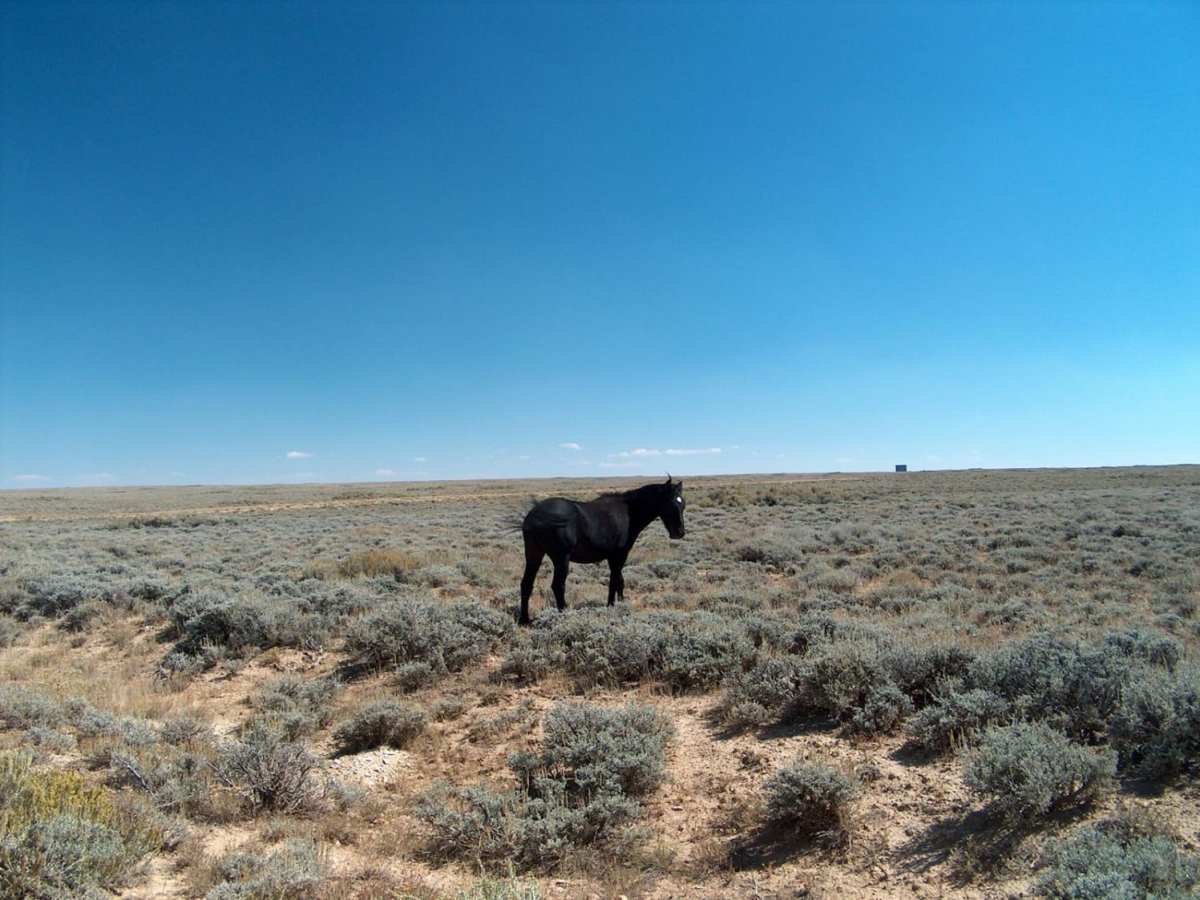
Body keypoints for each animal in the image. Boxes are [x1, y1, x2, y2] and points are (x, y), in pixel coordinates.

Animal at [518, 476, 686, 625]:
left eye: (683, 504)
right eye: (670, 503)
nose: (679, 532)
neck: (628, 513)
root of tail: (534, 516)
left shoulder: (613, 557)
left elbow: (619, 581)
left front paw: (619, 603)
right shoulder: (619, 555)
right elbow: (615, 581)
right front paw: (613, 606)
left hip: (534, 554)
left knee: (526, 584)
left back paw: (524, 620)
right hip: (561, 558)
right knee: (558, 586)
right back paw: (564, 615)